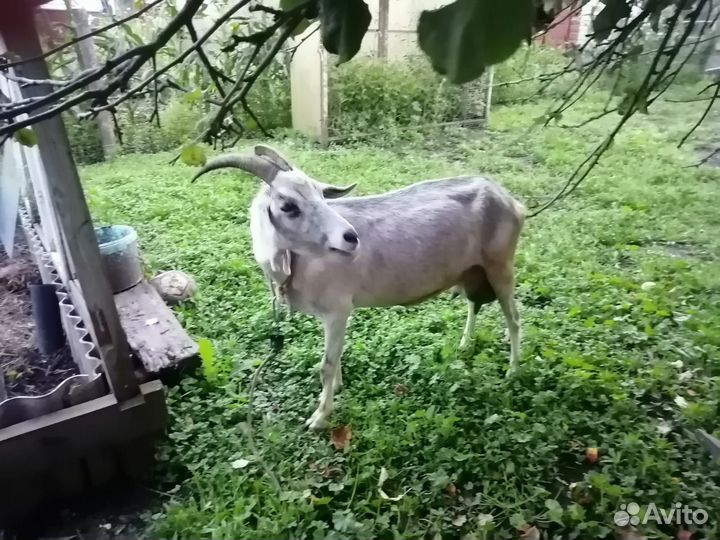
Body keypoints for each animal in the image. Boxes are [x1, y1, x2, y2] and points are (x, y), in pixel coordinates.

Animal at [192, 145, 525, 430]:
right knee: (474, 304)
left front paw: (320, 417)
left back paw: (512, 371)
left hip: (501, 266)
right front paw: (335, 389)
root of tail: (509, 199)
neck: (299, 261)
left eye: (322, 196)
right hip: (473, 271)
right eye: (288, 205)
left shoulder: (338, 311)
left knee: (513, 318)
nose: (350, 238)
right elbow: (335, 356)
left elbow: (326, 364)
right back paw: (465, 344)